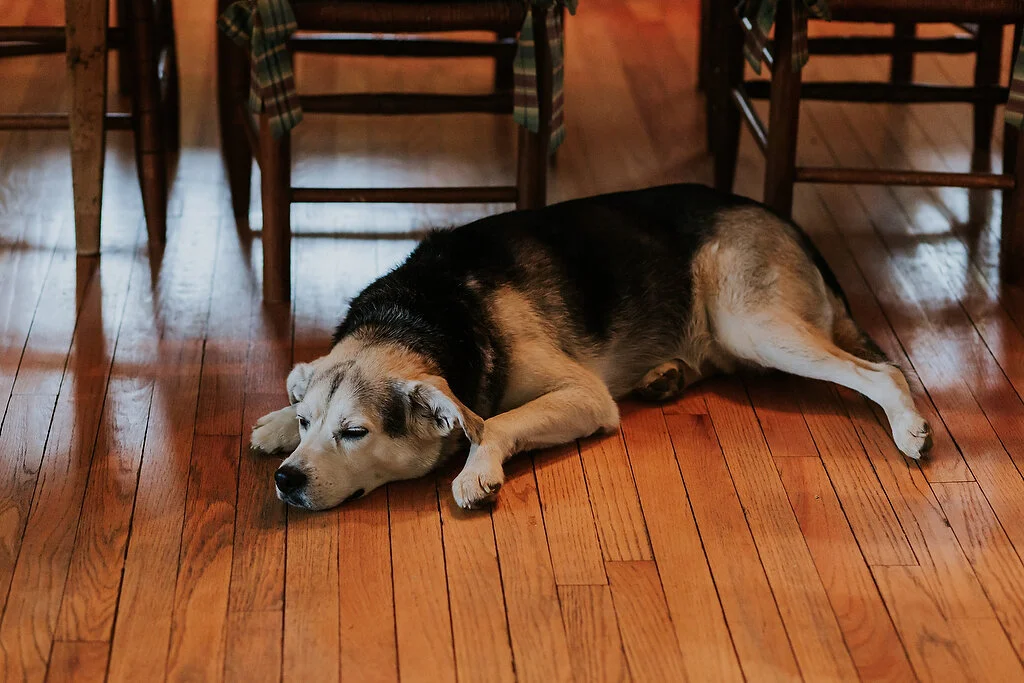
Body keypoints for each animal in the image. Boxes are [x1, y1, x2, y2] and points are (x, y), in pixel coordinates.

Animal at [251, 184, 933, 509]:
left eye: (355, 433)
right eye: (311, 424)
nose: (286, 481)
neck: (419, 313)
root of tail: (785, 219)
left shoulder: (585, 397)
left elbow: (497, 423)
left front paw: (477, 469)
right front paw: (276, 418)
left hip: (753, 322)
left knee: (884, 372)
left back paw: (909, 429)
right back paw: (666, 376)